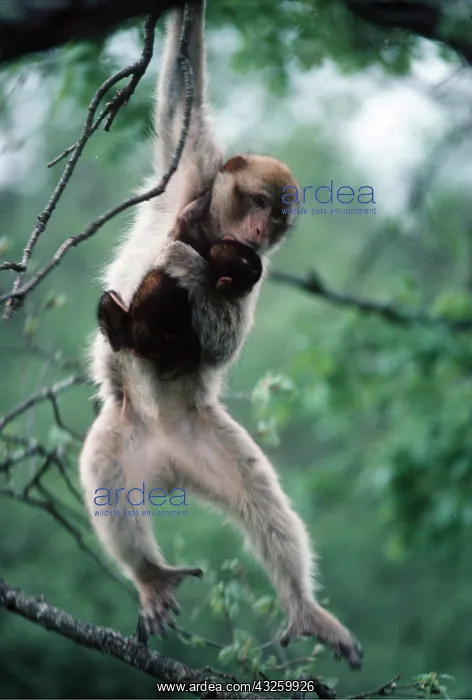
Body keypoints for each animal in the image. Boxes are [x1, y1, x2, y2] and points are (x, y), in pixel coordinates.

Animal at [79, 0, 362, 669]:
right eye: (258, 201)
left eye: (277, 218)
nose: (260, 229)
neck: (211, 230)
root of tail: (166, 456)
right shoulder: (193, 173)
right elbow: (183, 98)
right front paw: (187, 14)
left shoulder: (251, 272)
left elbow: (219, 342)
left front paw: (189, 267)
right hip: (123, 433)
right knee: (104, 484)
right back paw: (150, 575)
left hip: (206, 441)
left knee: (263, 503)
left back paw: (304, 608)